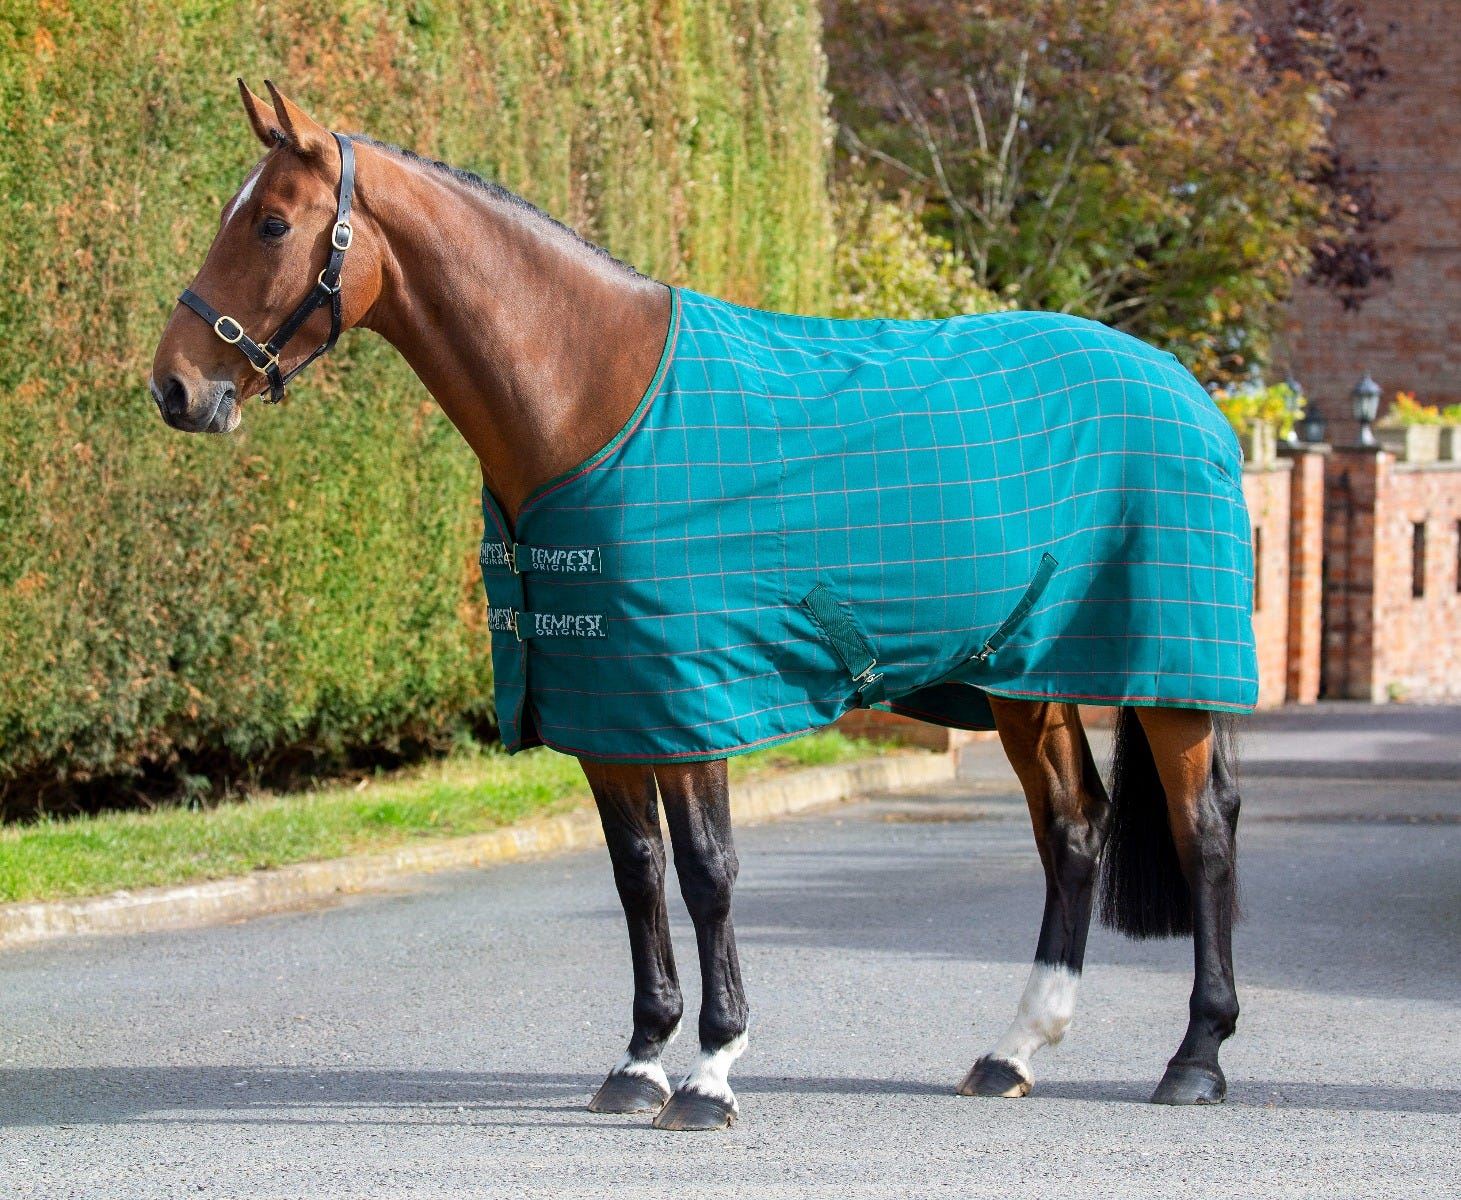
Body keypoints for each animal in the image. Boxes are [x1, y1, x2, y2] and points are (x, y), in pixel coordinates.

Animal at [149, 82, 1248, 1131]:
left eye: (272, 225)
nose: (175, 388)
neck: (591, 398)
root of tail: (1181, 385)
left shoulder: (690, 702)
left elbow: (708, 871)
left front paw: (713, 1072)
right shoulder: (604, 702)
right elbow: (638, 873)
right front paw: (640, 1061)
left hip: (1172, 675)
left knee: (1202, 828)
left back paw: (1195, 1059)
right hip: (1026, 677)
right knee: (1072, 827)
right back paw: (1013, 1052)